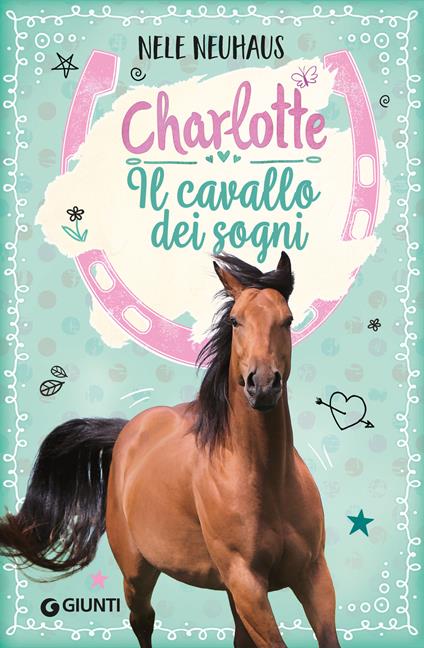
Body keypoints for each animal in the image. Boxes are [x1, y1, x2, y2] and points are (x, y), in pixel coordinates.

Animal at [0, 251, 340, 648]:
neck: (266, 479)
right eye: (236, 321)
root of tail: (128, 431)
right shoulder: (248, 584)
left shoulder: (313, 575)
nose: (262, 386)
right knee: (142, 620)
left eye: (287, 320)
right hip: (139, 573)